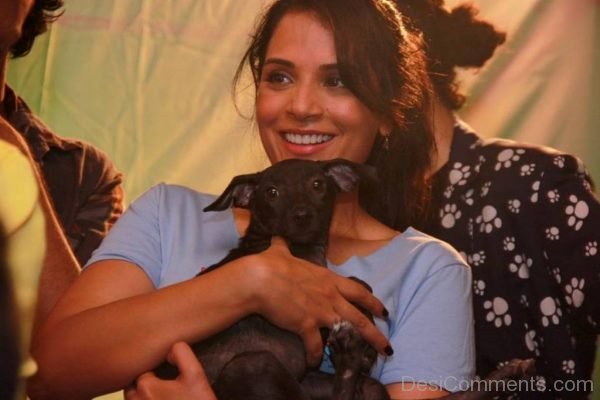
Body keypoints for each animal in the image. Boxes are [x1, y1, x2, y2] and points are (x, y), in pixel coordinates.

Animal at [155, 159, 390, 400]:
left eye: (317, 184)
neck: (302, 251)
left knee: (371, 387)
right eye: (272, 192)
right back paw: (350, 353)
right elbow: (356, 283)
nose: (302, 215)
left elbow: (359, 283)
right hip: (254, 364)